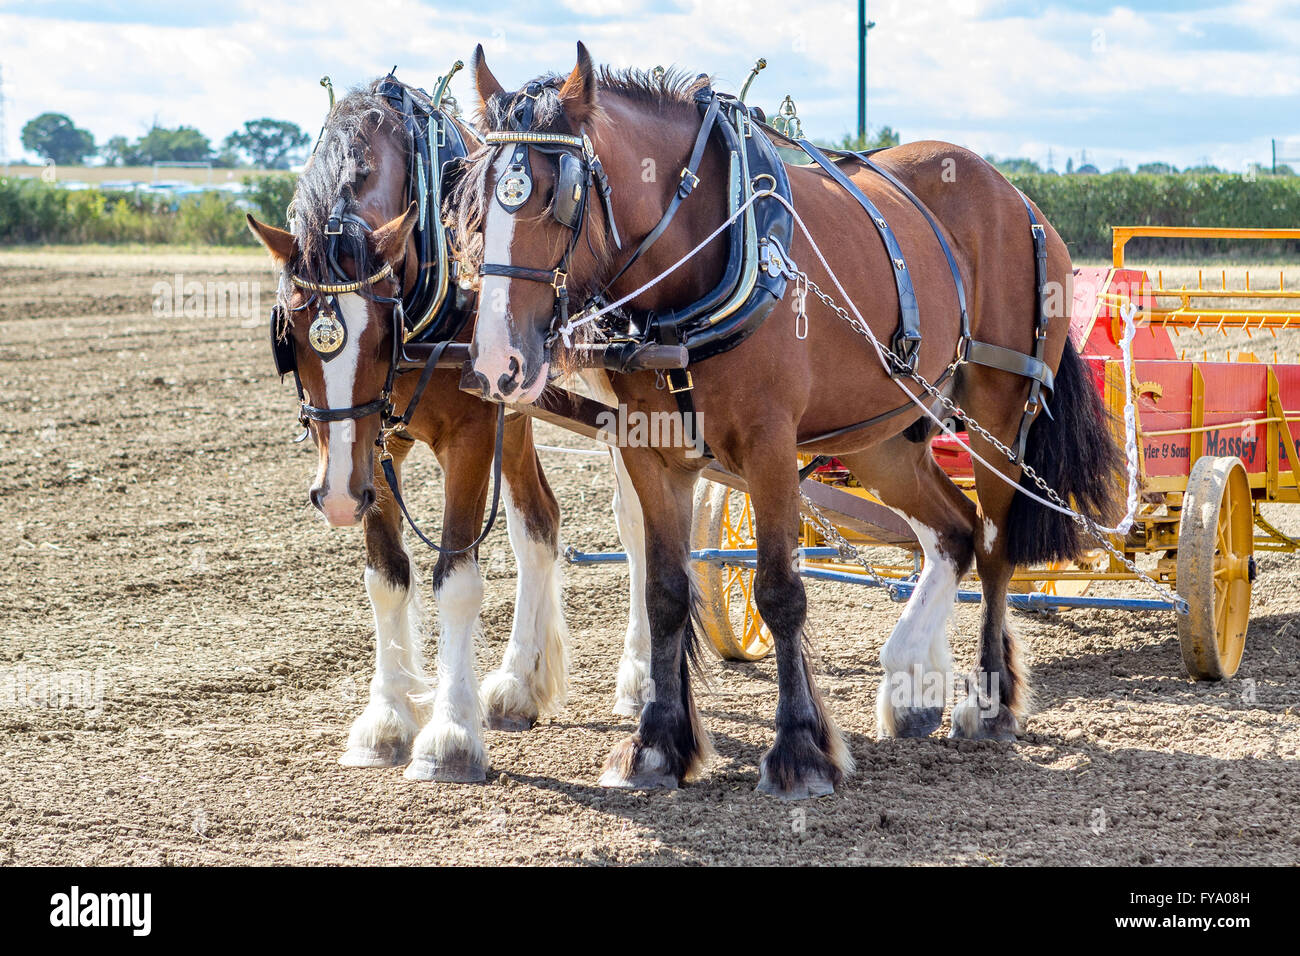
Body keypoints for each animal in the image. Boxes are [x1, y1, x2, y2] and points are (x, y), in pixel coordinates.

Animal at [244, 78, 603, 785]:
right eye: (289, 332)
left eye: (384, 335)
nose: (335, 499)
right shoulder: (373, 448)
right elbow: (387, 577)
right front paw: (385, 721)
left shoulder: (471, 433)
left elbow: (455, 580)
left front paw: (450, 735)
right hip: (518, 417)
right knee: (540, 523)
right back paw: (518, 685)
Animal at [457, 46, 1118, 801]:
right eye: (473, 201)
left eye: (556, 196)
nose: (498, 360)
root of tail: (1020, 197)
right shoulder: (652, 451)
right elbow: (665, 592)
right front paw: (656, 745)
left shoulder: (770, 448)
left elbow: (779, 592)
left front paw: (800, 750)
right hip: (885, 436)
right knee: (953, 529)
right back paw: (911, 683)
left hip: (999, 416)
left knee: (996, 542)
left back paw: (988, 702)